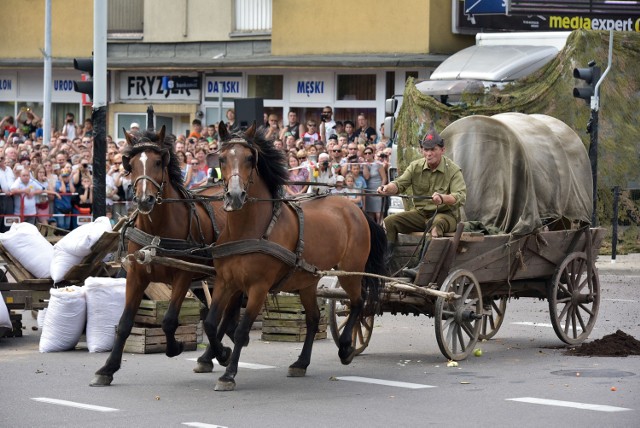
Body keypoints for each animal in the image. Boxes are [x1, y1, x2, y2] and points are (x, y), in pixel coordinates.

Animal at [90, 125, 238, 386]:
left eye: (158, 162)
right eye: (132, 164)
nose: (144, 200)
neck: (158, 228)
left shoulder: (183, 275)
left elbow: (169, 321)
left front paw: (175, 347)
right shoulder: (136, 275)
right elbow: (124, 323)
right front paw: (107, 368)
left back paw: (217, 353)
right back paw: (210, 356)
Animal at [205, 123, 384, 392]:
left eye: (249, 158)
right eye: (222, 158)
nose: (235, 196)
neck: (249, 229)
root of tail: (355, 209)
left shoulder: (258, 287)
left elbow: (241, 330)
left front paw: (228, 373)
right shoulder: (226, 282)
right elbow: (211, 322)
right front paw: (221, 354)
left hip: (349, 271)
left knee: (357, 302)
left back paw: (345, 346)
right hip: (308, 281)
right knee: (313, 318)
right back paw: (301, 362)